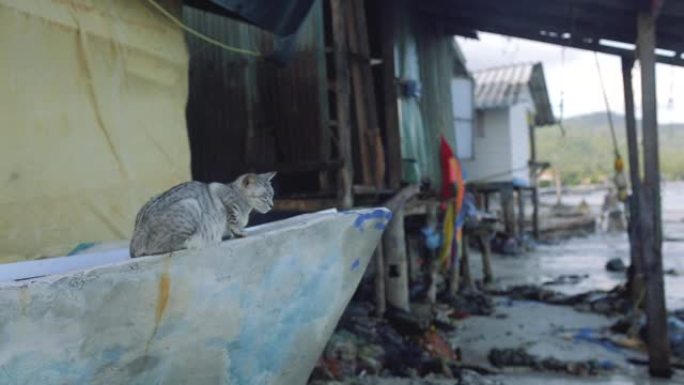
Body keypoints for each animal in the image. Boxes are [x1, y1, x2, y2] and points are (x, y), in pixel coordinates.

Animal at [130, 172, 274, 256]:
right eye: (265, 197)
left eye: (272, 195)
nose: (272, 205)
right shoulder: (224, 201)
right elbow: (233, 221)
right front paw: (239, 232)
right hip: (190, 205)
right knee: (164, 248)